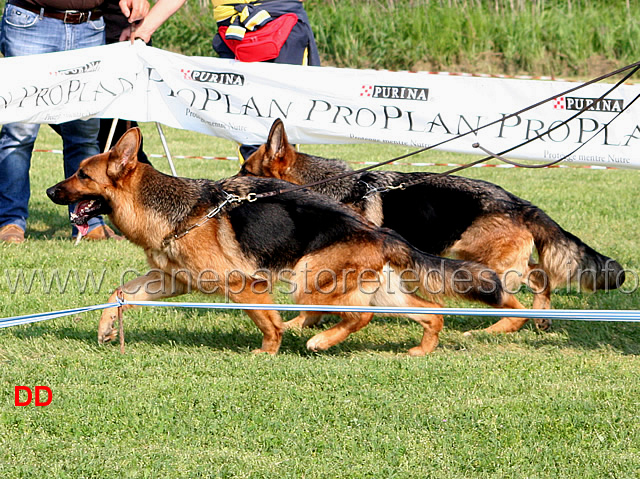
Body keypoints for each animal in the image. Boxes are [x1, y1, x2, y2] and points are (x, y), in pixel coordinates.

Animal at [47, 127, 528, 356]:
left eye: (82, 175)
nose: (51, 191)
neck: (175, 211)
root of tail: (376, 229)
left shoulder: (243, 285)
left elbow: (266, 320)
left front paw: (268, 351)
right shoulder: (170, 282)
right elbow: (118, 295)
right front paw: (107, 329)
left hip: (307, 279)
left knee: (360, 316)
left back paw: (320, 343)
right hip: (380, 290)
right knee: (430, 314)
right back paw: (418, 351)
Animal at [240, 119, 624, 334]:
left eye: (245, 170)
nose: (227, 190)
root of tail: (517, 202)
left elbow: (318, 303)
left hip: (483, 262)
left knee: (517, 294)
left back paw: (495, 330)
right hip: (488, 258)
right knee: (539, 276)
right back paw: (540, 318)